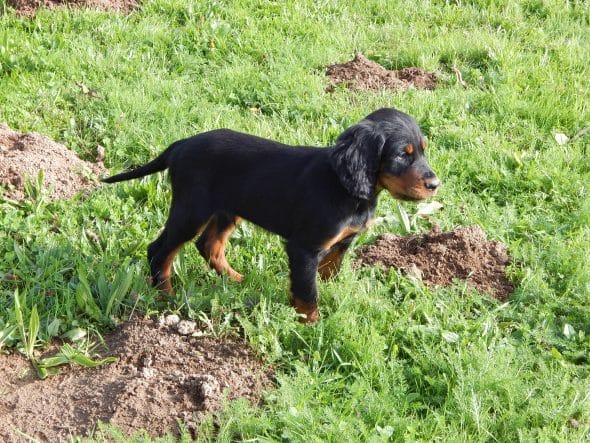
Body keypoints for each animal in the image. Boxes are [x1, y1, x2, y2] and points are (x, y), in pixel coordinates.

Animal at [104, 107, 442, 322]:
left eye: (422, 150)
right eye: (402, 154)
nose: (435, 184)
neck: (348, 188)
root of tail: (182, 144)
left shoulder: (341, 243)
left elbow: (327, 275)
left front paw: (333, 298)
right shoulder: (304, 248)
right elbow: (307, 293)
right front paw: (311, 327)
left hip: (227, 210)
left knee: (209, 245)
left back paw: (236, 279)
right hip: (191, 209)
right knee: (160, 249)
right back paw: (165, 295)